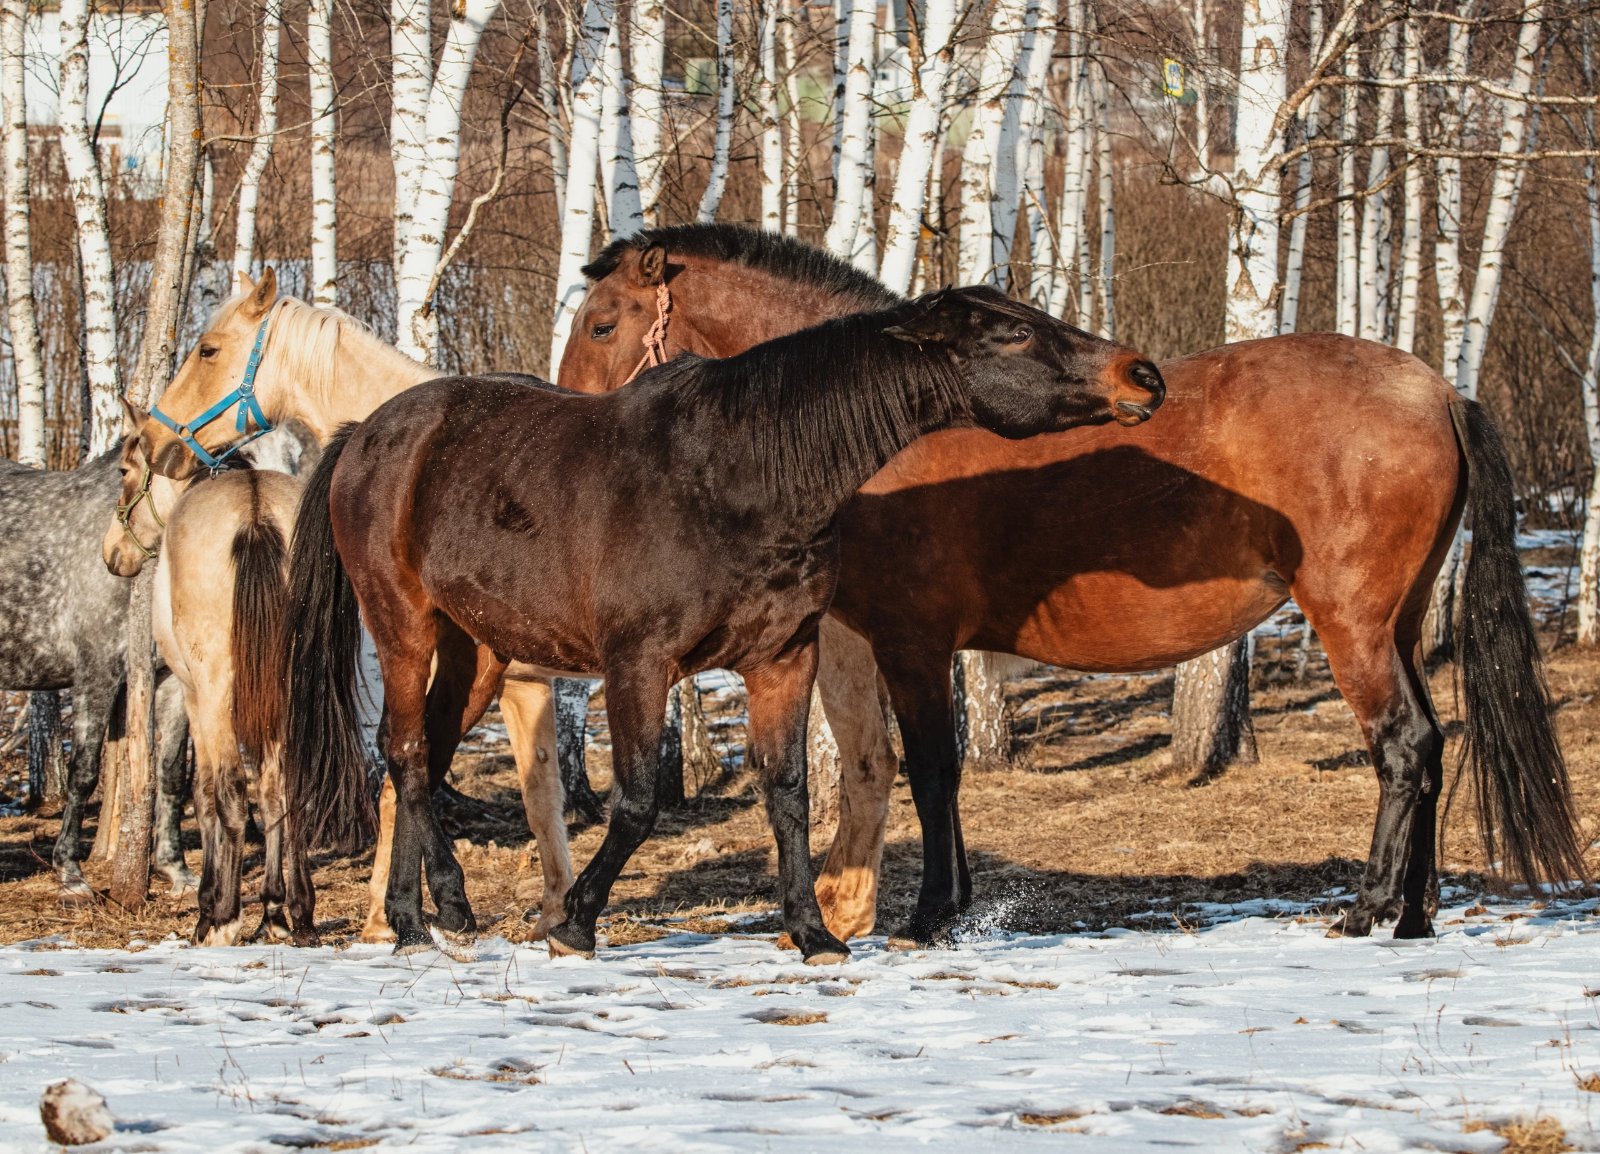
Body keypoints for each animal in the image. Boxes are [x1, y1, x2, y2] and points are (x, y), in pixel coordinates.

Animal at [0, 446, 193, 898]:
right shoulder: (97, 670)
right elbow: (84, 772)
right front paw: (70, 873)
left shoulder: (170, 679)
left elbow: (171, 772)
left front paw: (174, 869)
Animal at [102, 407, 317, 945]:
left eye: (124, 470)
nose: (113, 553)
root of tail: (256, 514)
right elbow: (272, 791)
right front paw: (275, 910)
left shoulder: (190, 694)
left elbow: (201, 793)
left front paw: (210, 907)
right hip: (291, 687)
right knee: (287, 788)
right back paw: (298, 912)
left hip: (217, 693)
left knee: (231, 793)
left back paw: (221, 915)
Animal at [276, 288, 1163, 960]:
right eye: (1013, 332)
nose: (1142, 374)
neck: (741, 472)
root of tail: (368, 435)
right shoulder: (638, 663)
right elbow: (638, 802)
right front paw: (575, 923)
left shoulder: (783, 659)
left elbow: (789, 792)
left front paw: (814, 932)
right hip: (405, 626)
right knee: (403, 750)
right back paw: (428, 914)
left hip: (479, 649)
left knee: (421, 756)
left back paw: (431, 915)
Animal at [554, 222, 1586, 945]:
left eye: (603, 323)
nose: (577, 419)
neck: (891, 419)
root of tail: (1439, 389)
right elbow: (928, 774)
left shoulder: (912, 644)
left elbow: (932, 772)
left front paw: (930, 916)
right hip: (1398, 624)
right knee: (1434, 742)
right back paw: (1414, 915)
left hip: (1353, 626)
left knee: (1403, 747)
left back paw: (1368, 909)